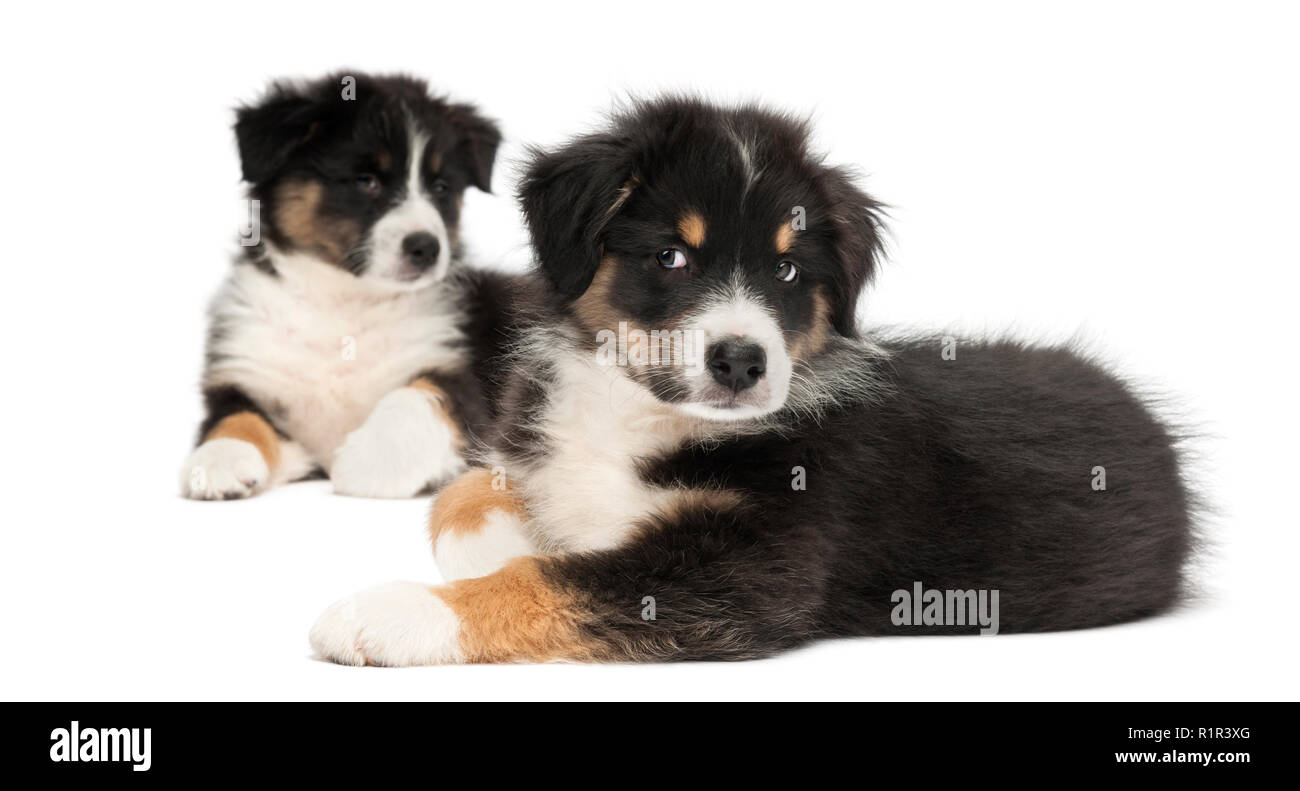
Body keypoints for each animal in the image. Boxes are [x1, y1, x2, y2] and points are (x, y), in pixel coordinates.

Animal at [183, 77, 501, 504]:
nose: (427, 247)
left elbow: (419, 394)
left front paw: (373, 459)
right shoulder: (247, 372)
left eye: (440, 187)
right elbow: (232, 416)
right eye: (366, 181)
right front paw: (220, 459)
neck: (345, 300)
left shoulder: (459, 376)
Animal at [306, 97, 1196, 666]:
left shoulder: (752, 566)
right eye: (671, 256)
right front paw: (516, 530)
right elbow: (463, 498)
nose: (741, 360)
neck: (643, 416)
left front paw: (391, 611)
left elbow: (547, 579)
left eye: (788, 269)